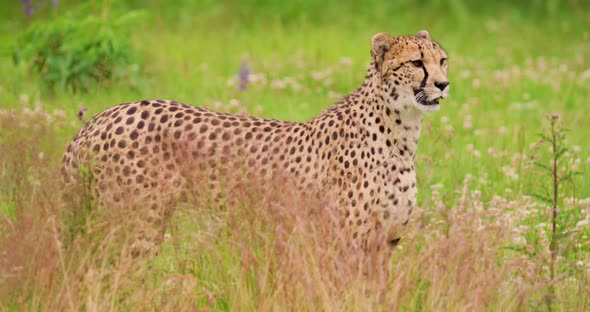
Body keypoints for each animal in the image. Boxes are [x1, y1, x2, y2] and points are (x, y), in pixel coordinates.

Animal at [63, 29, 448, 254]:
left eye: (442, 60)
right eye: (417, 62)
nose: (443, 84)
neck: (402, 133)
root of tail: (101, 117)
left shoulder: (385, 242)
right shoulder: (345, 241)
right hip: (134, 223)